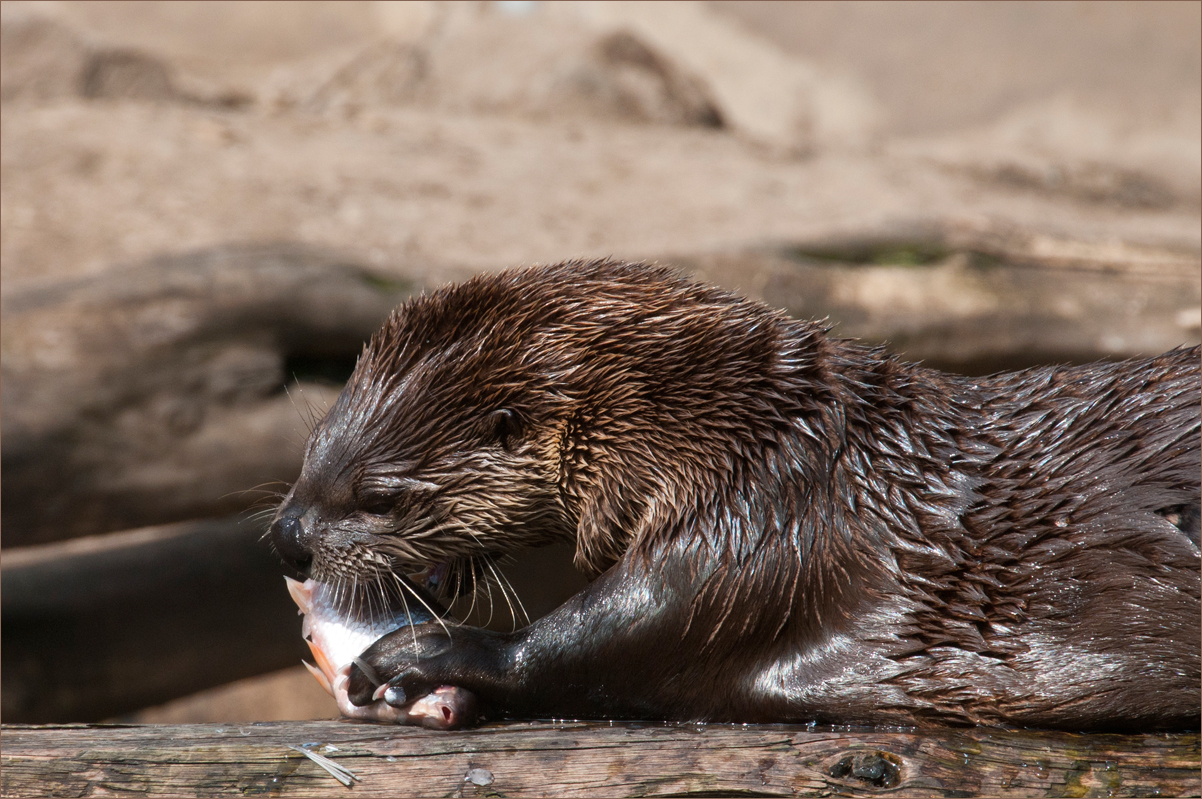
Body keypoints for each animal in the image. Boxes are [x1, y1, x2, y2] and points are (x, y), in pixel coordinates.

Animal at [272, 260, 1202, 730]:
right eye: (311, 450)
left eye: (378, 494)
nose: (287, 538)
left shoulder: (766, 518)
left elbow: (623, 635)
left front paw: (422, 656)